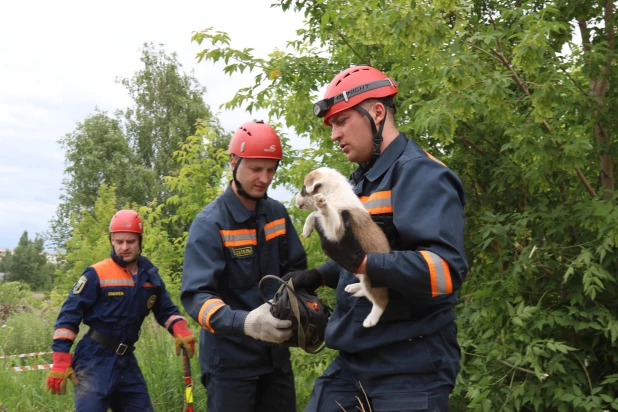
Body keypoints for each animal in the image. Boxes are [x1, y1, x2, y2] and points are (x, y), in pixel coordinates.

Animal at [294, 167, 390, 328]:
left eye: (303, 188)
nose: (295, 201)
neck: (333, 193)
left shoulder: (337, 229)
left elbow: (326, 213)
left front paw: (323, 204)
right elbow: (314, 214)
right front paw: (307, 229)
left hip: (370, 278)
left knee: (381, 300)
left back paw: (370, 319)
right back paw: (355, 288)